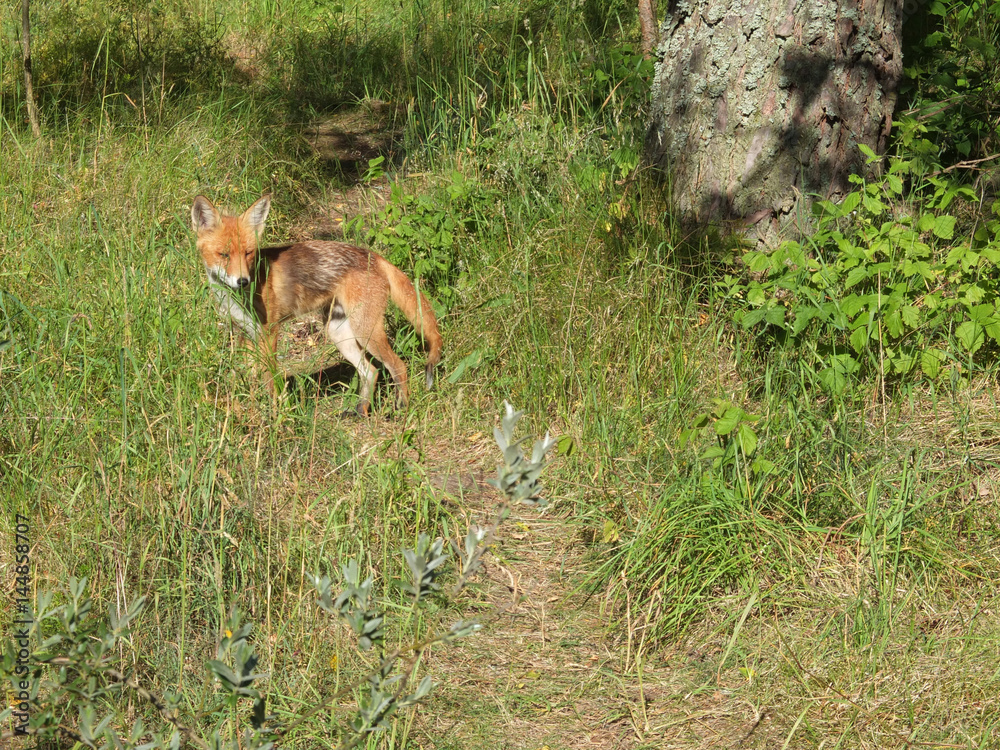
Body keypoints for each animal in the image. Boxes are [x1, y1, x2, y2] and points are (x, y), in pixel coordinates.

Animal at [191, 194, 443, 415]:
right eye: (223, 254)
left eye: (248, 253)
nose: (243, 281)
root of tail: (373, 255)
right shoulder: (244, 333)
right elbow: (250, 377)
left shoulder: (269, 331)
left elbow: (270, 379)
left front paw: (274, 415)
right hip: (339, 333)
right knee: (370, 371)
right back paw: (361, 411)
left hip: (365, 332)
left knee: (398, 366)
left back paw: (401, 409)